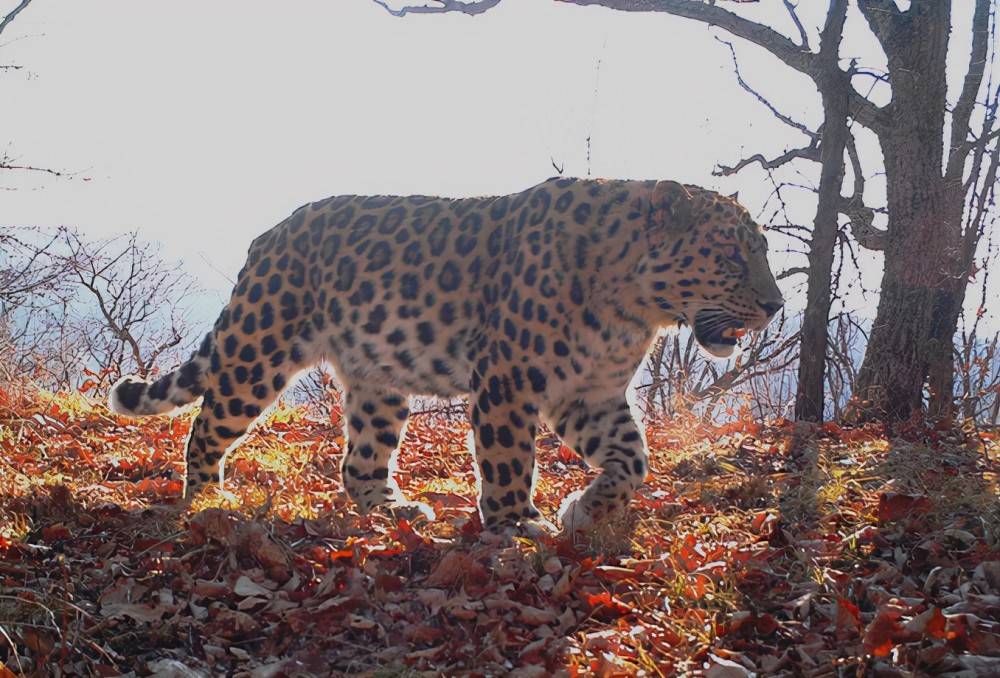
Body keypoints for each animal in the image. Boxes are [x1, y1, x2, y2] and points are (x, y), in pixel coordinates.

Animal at [109, 179, 780, 536]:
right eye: (732, 254)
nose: (775, 305)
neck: (633, 305)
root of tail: (268, 236)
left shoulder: (589, 393)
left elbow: (633, 460)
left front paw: (586, 509)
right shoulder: (509, 379)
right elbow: (509, 461)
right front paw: (515, 525)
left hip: (378, 379)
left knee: (359, 461)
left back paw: (393, 508)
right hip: (259, 348)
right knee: (205, 426)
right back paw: (206, 499)